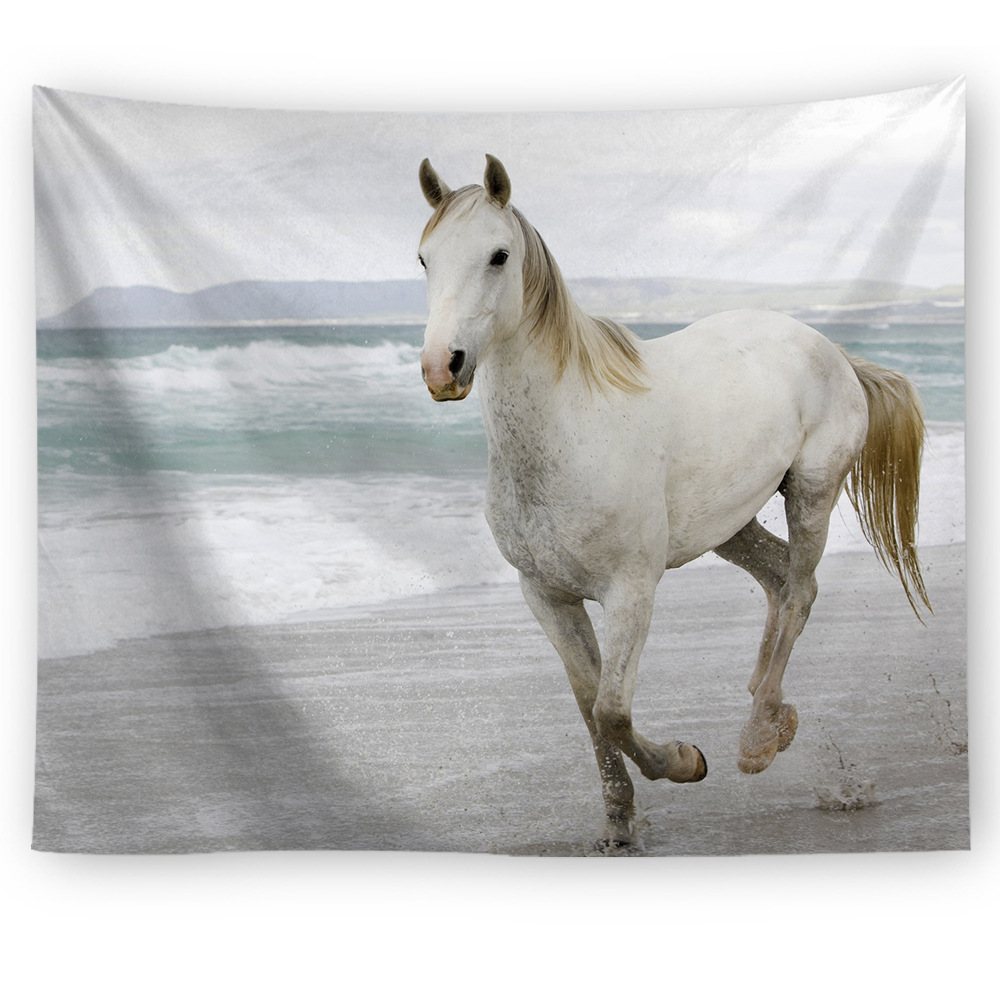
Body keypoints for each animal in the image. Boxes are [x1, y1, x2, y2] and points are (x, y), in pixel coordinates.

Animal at [416, 154, 930, 851]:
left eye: (498, 255)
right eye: (425, 258)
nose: (442, 367)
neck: (572, 428)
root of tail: (829, 348)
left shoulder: (631, 591)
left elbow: (611, 709)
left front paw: (687, 762)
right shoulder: (546, 595)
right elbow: (588, 707)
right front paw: (617, 823)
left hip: (813, 493)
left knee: (800, 590)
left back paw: (757, 739)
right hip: (731, 523)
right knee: (779, 579)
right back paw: (771, 710)